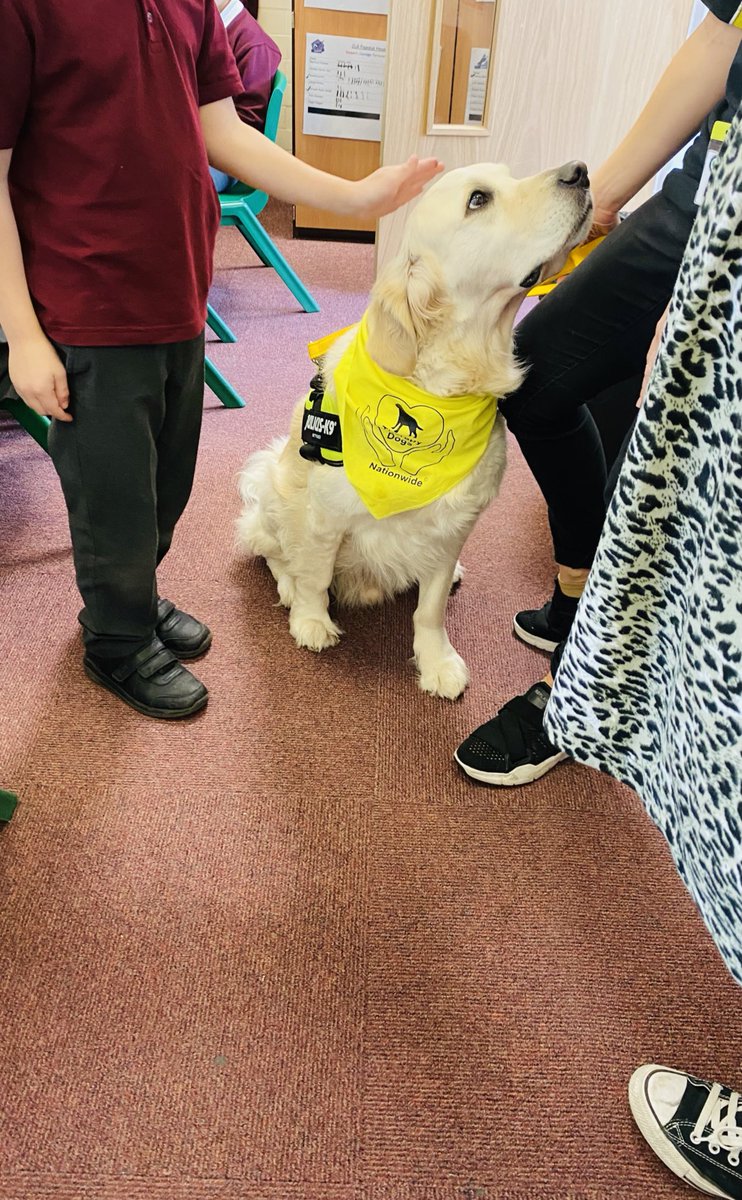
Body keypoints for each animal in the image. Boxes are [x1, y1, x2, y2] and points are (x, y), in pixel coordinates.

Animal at [236, 164, 588, 700]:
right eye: (478, 199)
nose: (581, 173)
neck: (445, 385)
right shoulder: (323, 515)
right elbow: (315, 573)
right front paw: (311, 620)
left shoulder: (451, 527)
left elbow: (430, 609)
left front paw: (436, 661)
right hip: (270, 482)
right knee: (274, 549)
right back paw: (289, 586)